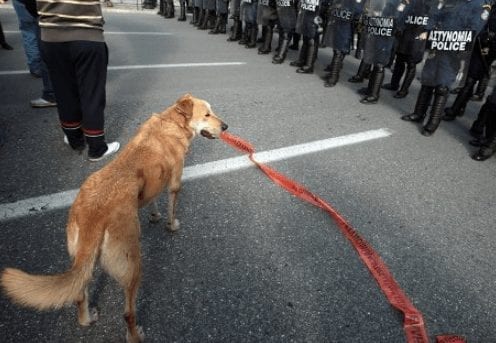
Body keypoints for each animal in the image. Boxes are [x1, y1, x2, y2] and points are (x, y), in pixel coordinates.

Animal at [0, 94, 228, 343]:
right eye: (206, 114)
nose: (226, 127)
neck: (171, 123)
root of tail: (93, 215)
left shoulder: (153, 184)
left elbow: (152, 200)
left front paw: (155, 215)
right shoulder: (174, 182)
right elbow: (172, 208)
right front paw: (172, 224)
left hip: (83, 262)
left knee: (79, 295)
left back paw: (87, 319)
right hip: (132, 264)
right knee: (128, 312)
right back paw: (135, 336)